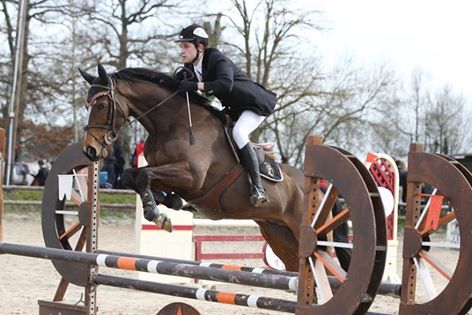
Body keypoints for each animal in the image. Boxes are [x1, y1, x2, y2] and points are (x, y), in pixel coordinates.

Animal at [78, 64, 340, 272]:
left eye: (101, 104)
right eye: (87, 104)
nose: (89, 150)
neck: (172, 123)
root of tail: (320, 189)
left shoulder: (191, 177)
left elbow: (144, 174)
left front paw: (157, 214)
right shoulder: (164, 170)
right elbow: (132, 176)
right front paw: (168, 202)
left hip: (308, 233)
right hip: (279, 234)